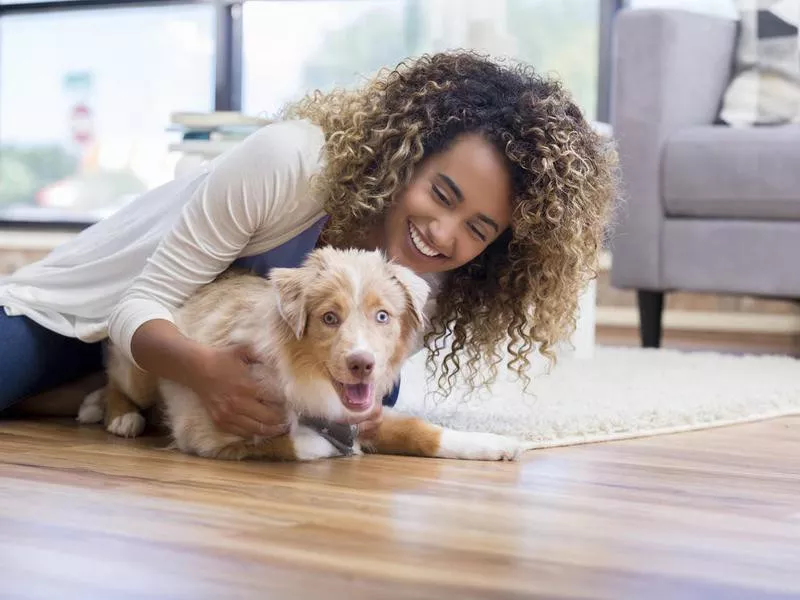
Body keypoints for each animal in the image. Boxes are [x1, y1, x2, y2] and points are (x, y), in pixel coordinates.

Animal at [78, 246, 532, 462]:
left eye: (382, 316)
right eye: (329, 317)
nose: (362, 364)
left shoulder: (364, 412)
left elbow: (422, 430)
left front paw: (494, 443)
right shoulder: (204, 431)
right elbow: (294, 442)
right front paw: (330, 445)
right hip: (140, 364)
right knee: (116, 379)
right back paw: (116, 415)